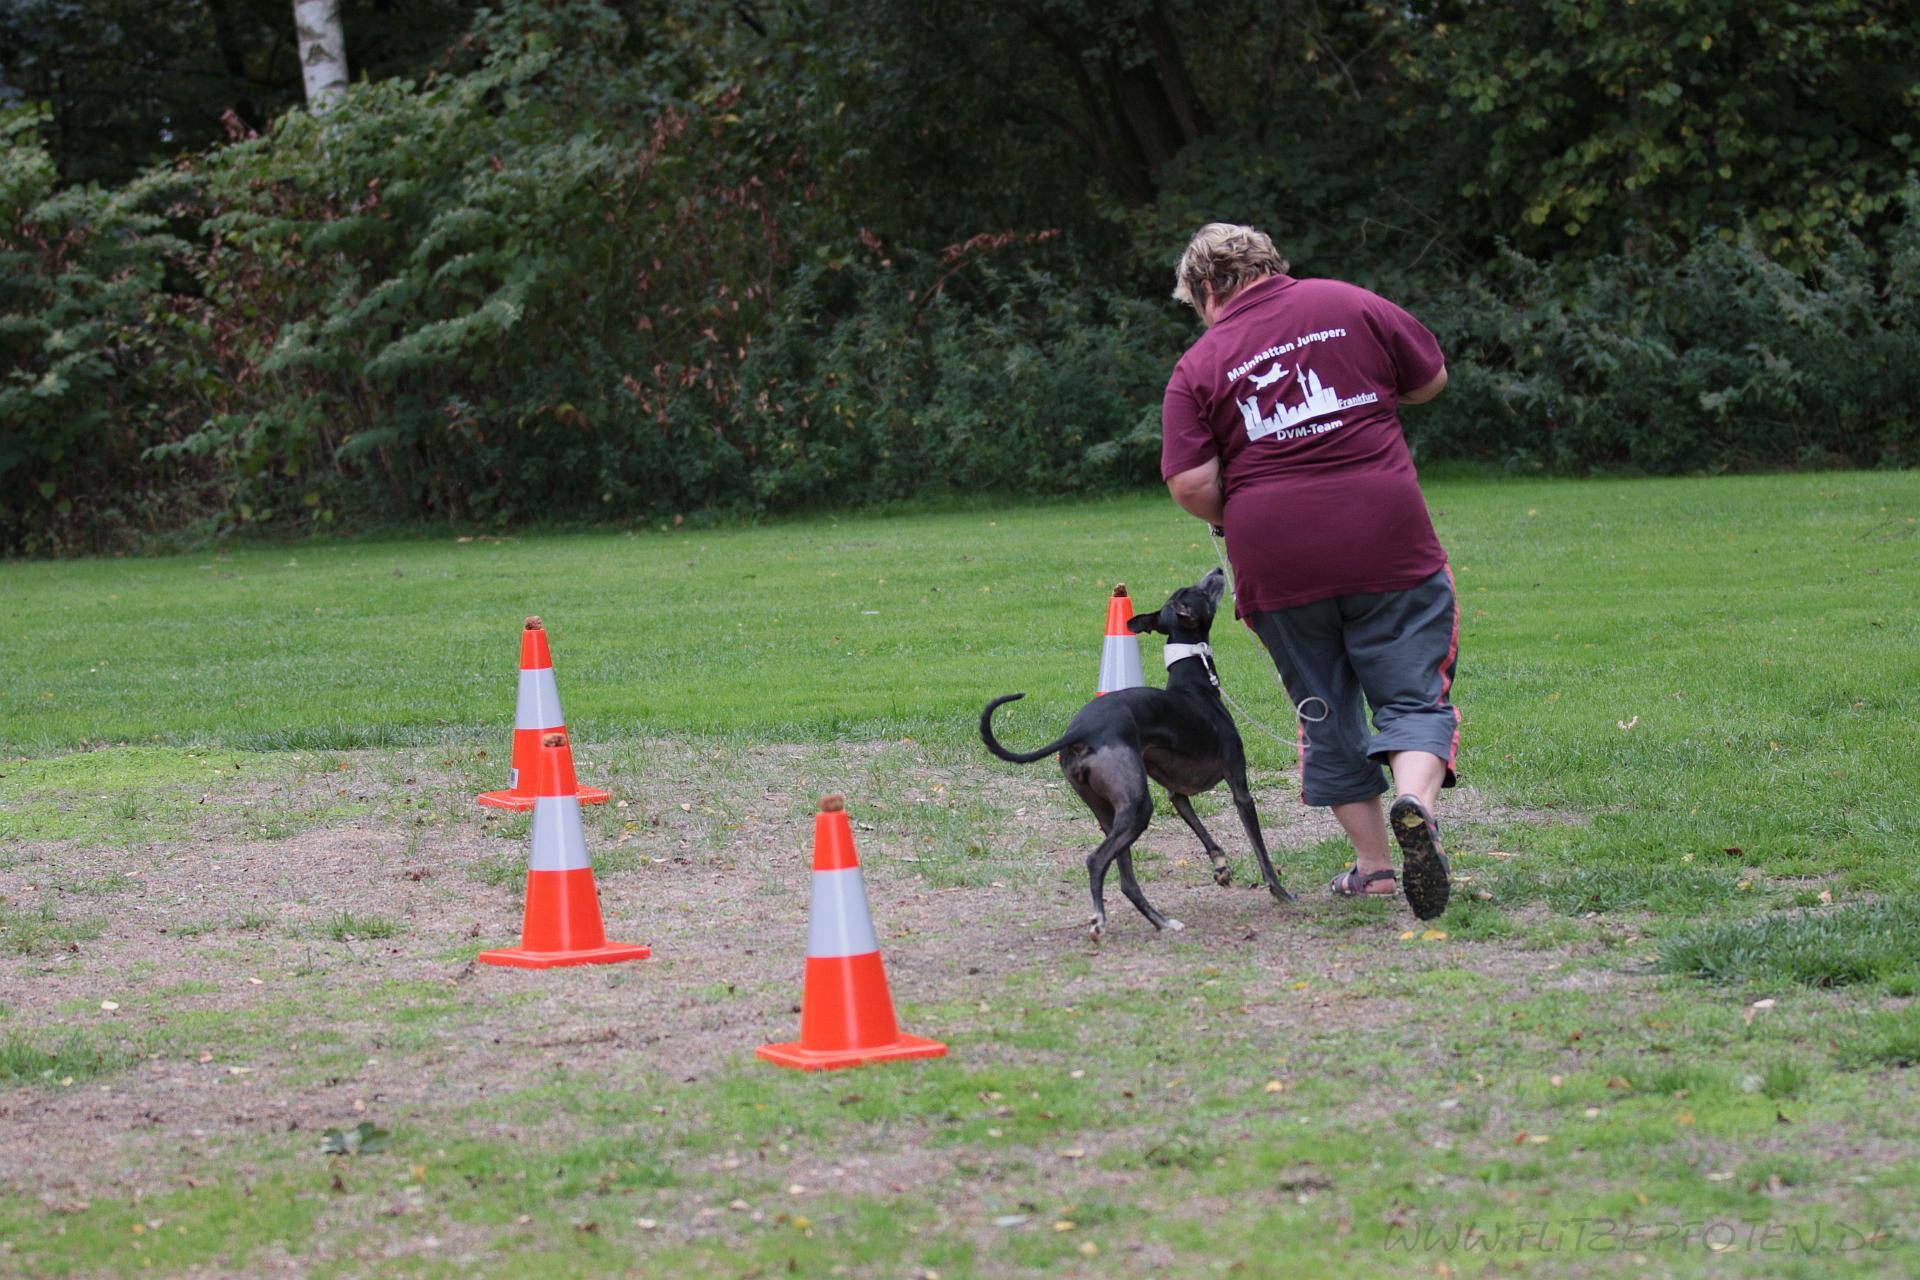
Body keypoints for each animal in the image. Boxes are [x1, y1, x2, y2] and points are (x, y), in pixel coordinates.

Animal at [980, 569, 1293, 939]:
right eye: (1199, 591)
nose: (1217, 572)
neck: (1197, 684)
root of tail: (1078, 731)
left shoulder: (1177, 795)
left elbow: (1201, 829)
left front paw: (1221, 867)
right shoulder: (1238, 785)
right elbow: (1260, 847)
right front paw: (1280, 891)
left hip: (1110, 813)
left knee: (1126, 880)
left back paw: (1161, 921)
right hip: (1137, 806)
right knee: (1096, 861)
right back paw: (1101, 920)